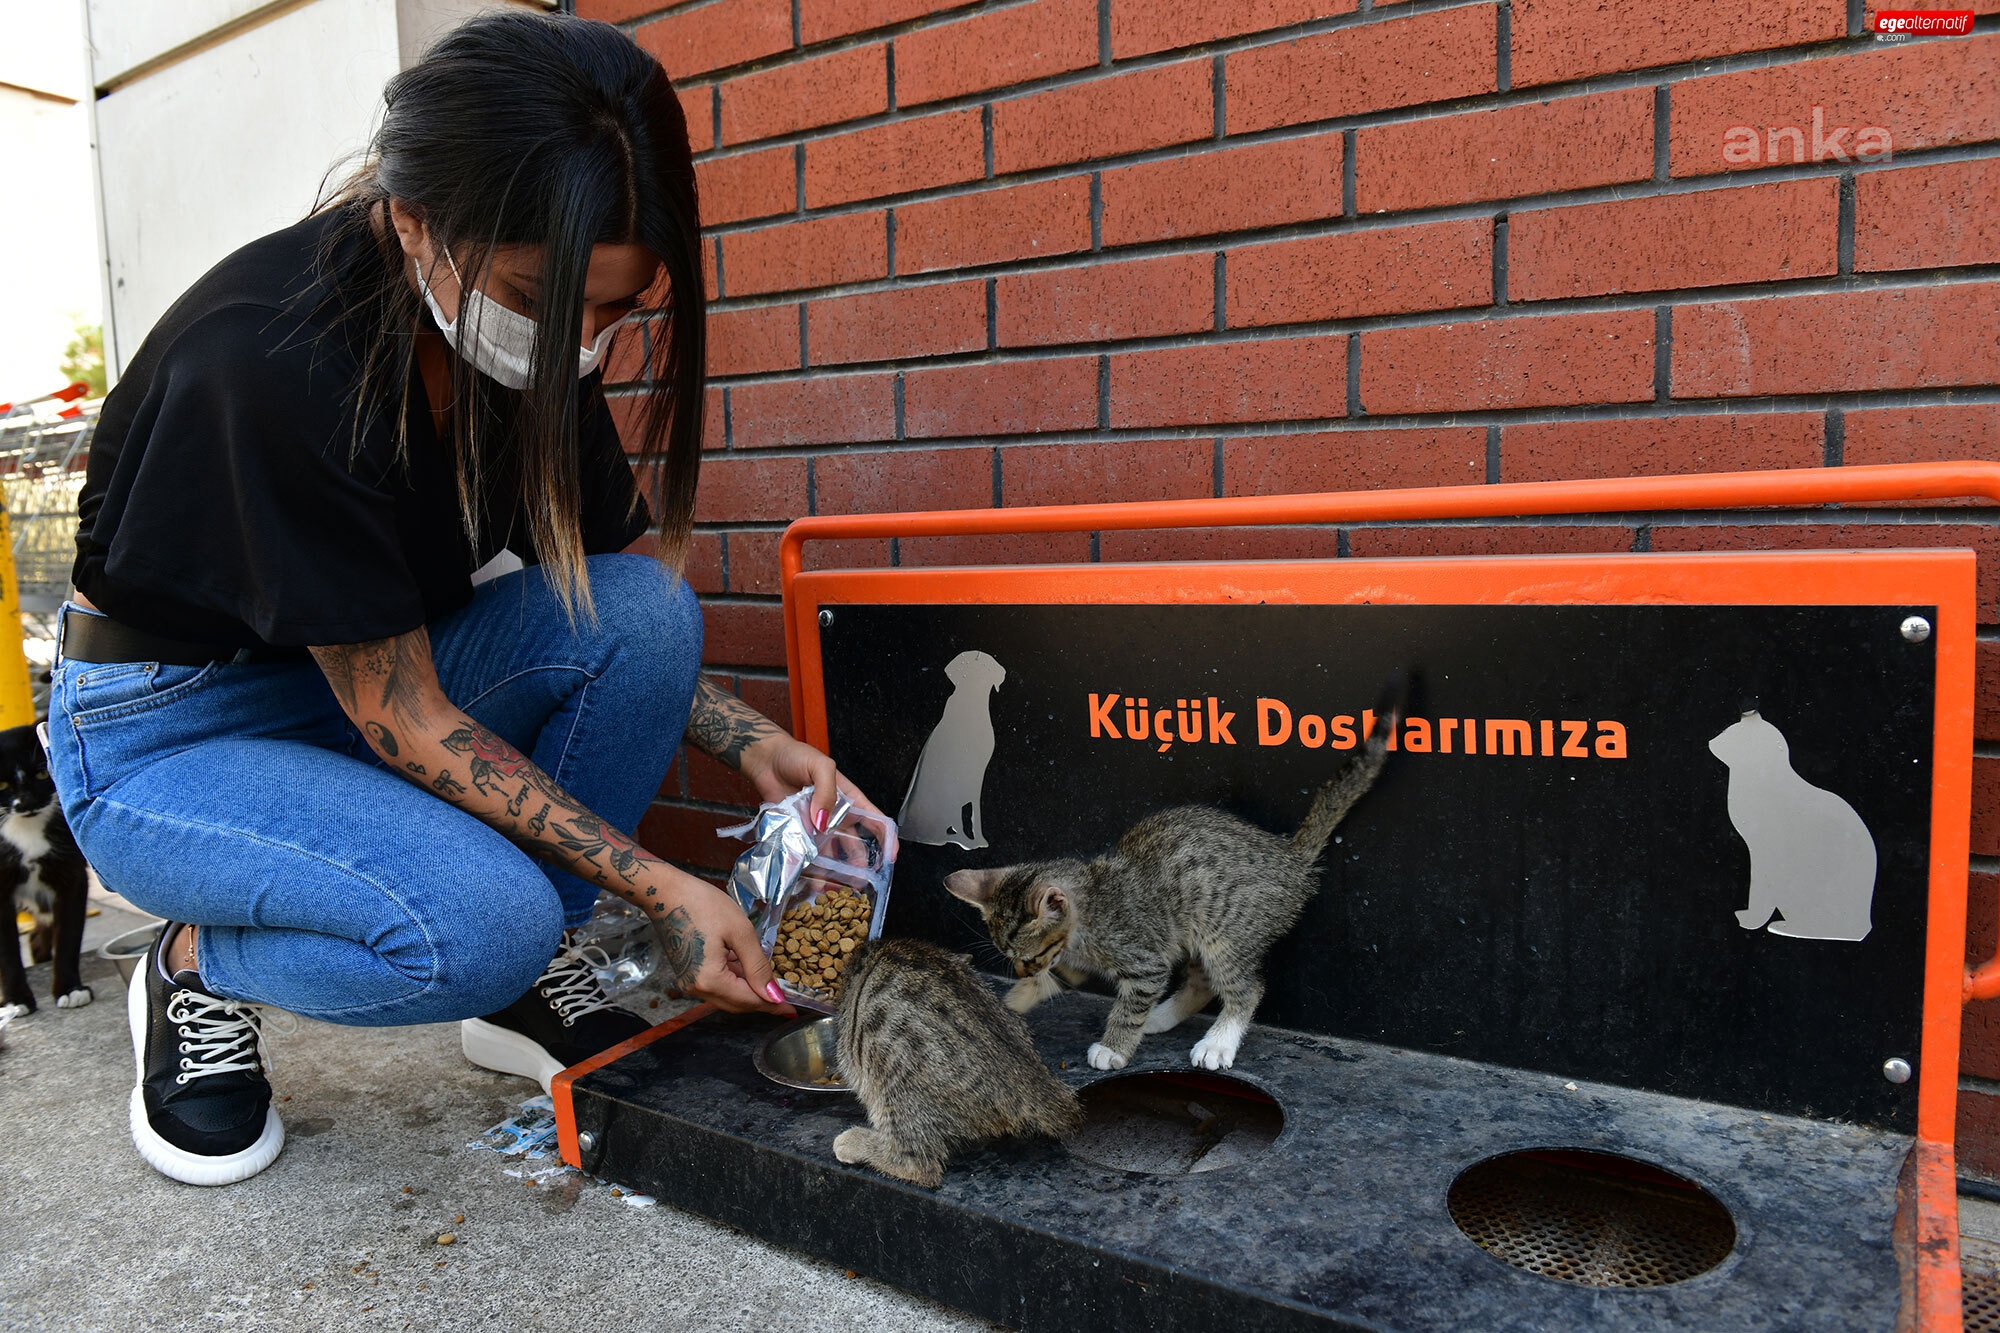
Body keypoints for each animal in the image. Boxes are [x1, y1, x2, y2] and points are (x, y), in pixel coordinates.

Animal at [1, 720, 92, 1012]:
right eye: (2, 783)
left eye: (42, 774)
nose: (27, 802)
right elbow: (7, 951)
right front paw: (15, 999)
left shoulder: (71, 876)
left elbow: (68, 937)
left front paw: (70, 989)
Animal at [948, 676, 1408, 1072]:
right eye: (1010, 957)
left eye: (1028, 956)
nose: (1022, 971)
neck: (1091, 910)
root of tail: (1289, 857)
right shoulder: (1082, 958)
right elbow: (1057, 980)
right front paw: (1007, 1003)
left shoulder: (1143, 959)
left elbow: (1131, 1004)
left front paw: (1114, 1047)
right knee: (1202, 984)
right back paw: (1163, 1017)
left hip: (1223, 930)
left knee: (1246, 988)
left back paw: (1218, 1042)